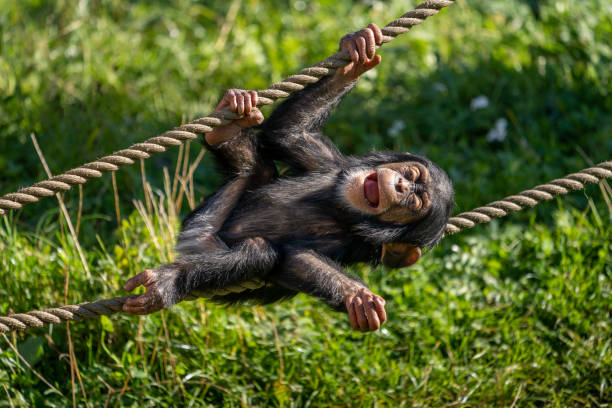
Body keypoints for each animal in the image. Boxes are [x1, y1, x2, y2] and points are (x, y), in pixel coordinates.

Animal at [123, 23, 454, 332]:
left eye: (415, 203)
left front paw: (355, 295)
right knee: (260, 170)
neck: (343, 206)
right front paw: (355, 58)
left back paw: (170, 281)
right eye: (411, 175)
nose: (401, 186)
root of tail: (190, 243)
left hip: (204, 241)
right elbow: (286, 134)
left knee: (260, 254)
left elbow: (296, 260)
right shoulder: (327, 162)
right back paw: (228, 128)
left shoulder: (357, 244)